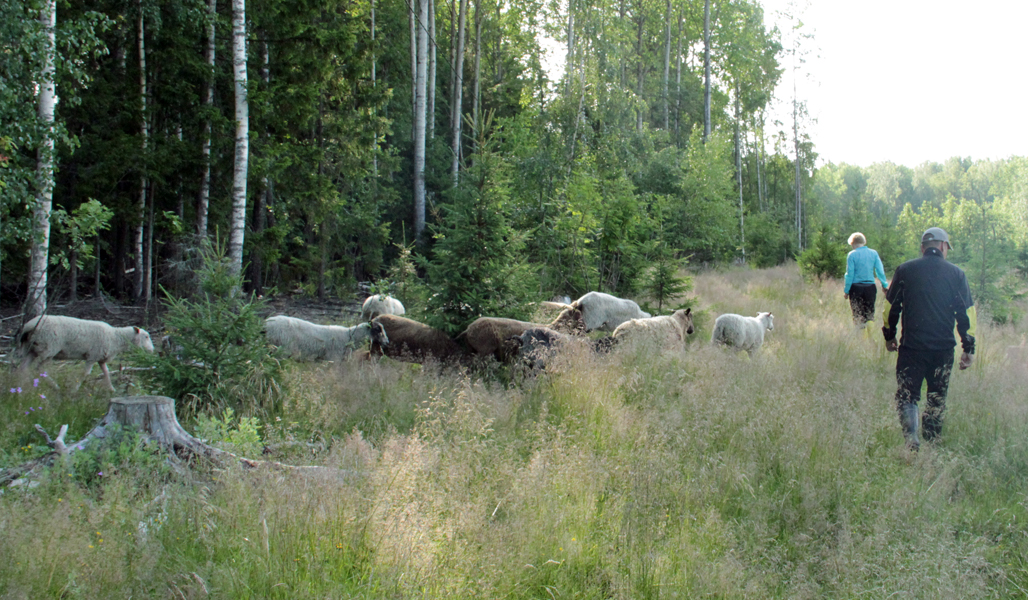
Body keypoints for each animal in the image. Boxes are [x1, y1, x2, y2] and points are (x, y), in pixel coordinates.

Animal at [15, 316, 154, 390]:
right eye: (146, 336)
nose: (152, 350)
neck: (115, 337)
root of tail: (29, 325)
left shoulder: (100, 357)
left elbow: (106, 373)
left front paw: (112, 390)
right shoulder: (92, 356)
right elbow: (85, 373)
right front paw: (75, 389)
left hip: (31, 349)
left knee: (23, 368)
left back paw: (22, 385)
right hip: (49, 349)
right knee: (39, 369)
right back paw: (55, 386)